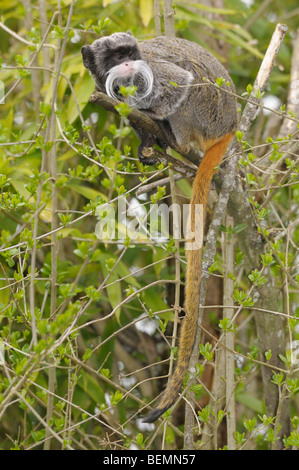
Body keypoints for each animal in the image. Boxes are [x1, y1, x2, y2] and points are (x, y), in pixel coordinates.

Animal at [81, 32, 238, 422]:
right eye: (114, 56)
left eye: (129, 53)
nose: (126, 63)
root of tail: (231, 124)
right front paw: (147, 143)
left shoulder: (151, 67)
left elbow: (179, 81)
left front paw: (155, 121)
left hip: (207, 110)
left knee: (188, 90)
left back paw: (173, 136)